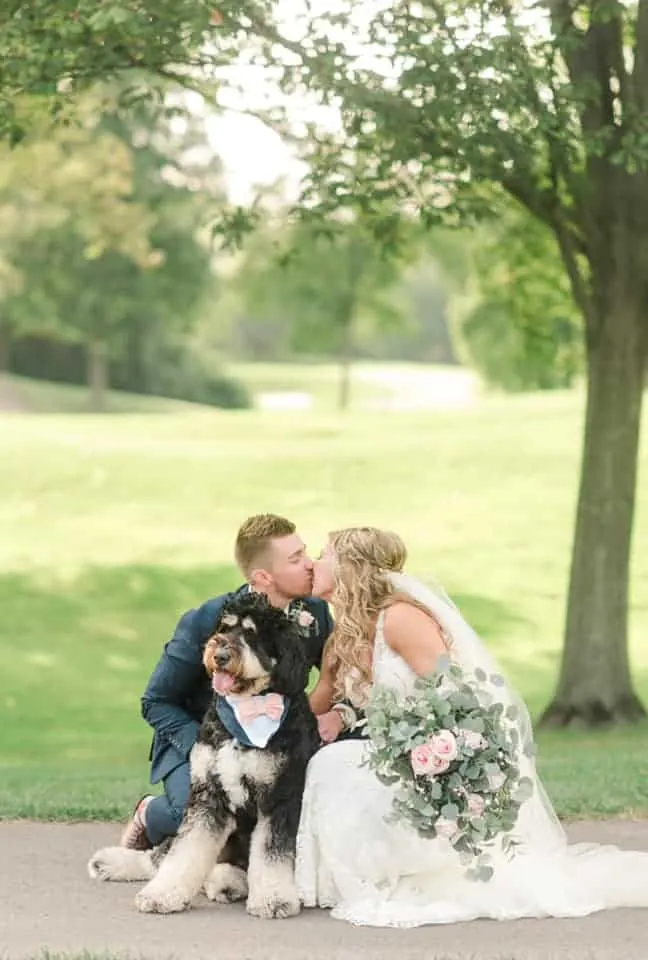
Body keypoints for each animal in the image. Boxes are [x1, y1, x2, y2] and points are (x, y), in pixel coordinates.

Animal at [88, 596, 322, 920]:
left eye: (252, 634)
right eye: (224, 628)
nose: (220, 655)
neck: (246, 713)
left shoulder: (280, 797)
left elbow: (272, 853)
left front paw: (273, 899)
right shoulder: (208, 794)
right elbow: (185, 851)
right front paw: (162, 895)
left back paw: (226, 882)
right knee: (159, 856)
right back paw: (112, 862)